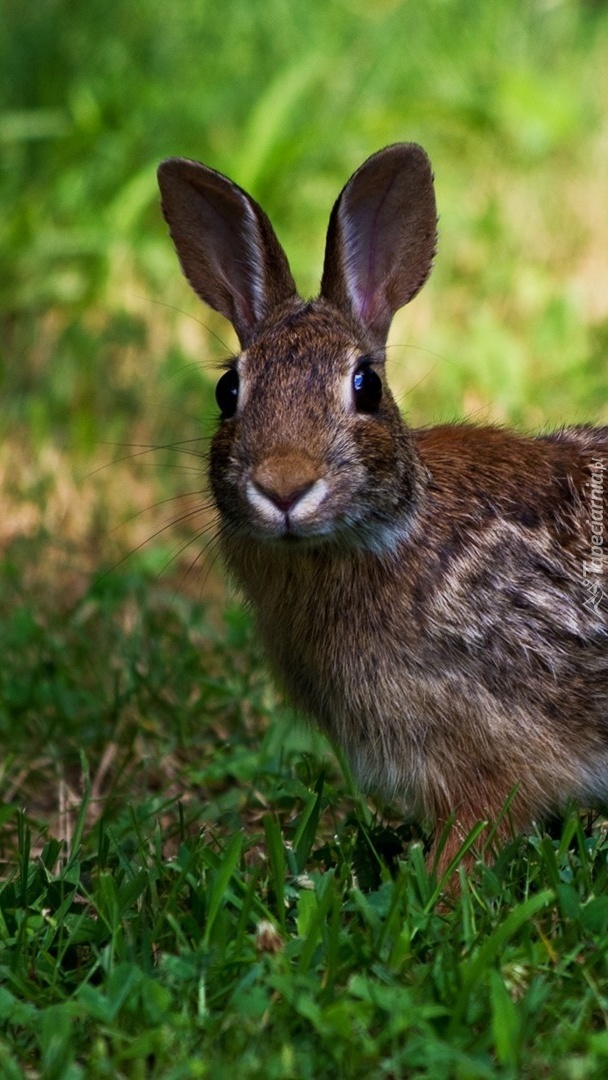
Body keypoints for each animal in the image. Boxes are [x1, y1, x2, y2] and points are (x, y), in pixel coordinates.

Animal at [158, 143, 608, 872]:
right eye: (228, 390)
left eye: (365, 386)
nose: (284, 486)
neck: (390, 530)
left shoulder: (489, 751)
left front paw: (434, 885)